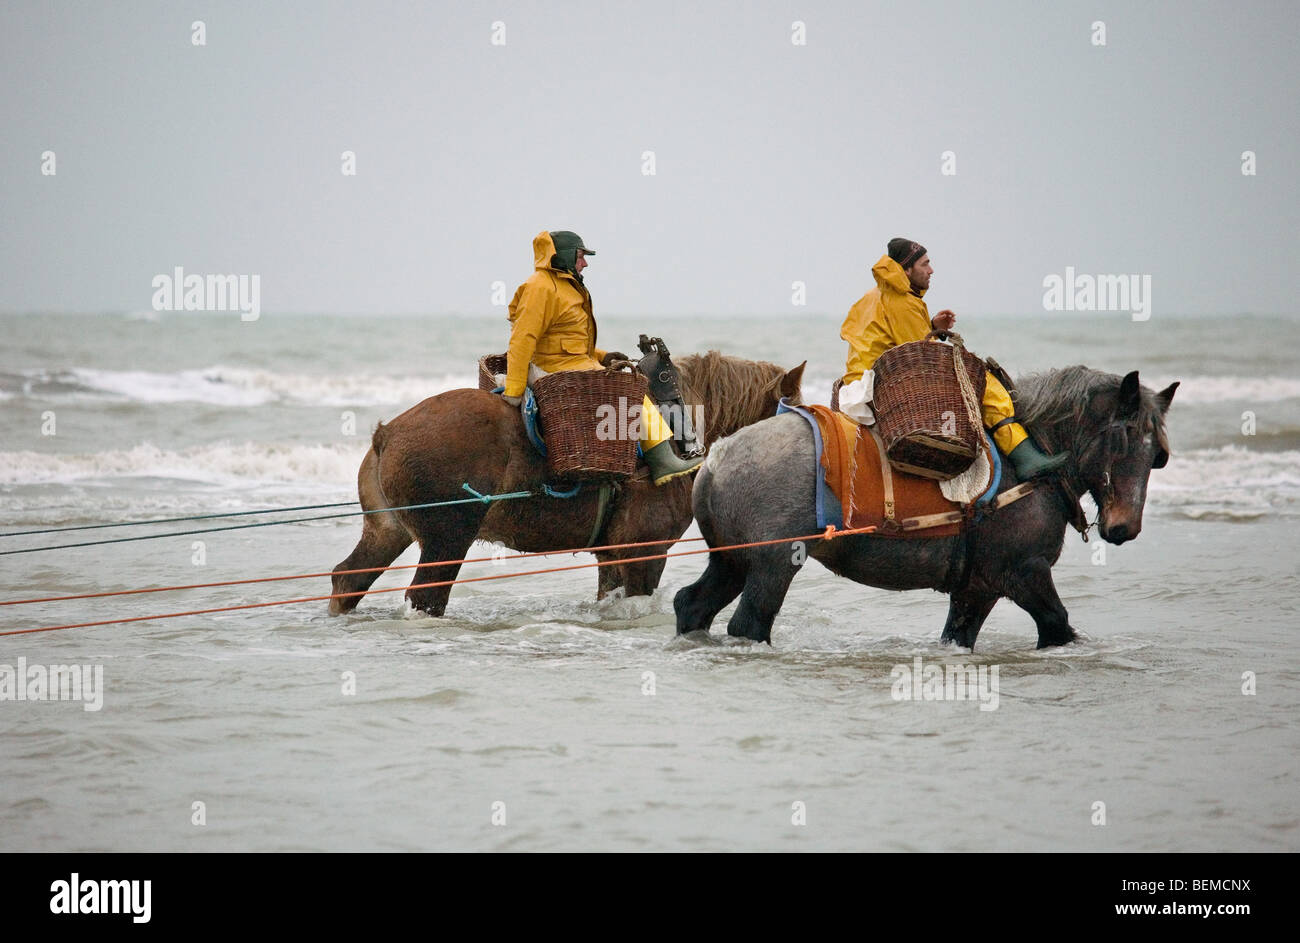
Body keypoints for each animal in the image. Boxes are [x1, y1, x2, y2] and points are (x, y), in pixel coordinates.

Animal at [329, 352, 806, 616]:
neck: (679, 426)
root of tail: (387, 433)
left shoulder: (612, 557)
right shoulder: (644, 554)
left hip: (387, 531)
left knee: (348, 580)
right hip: (446, 540)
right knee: (425, 597)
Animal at [673, 366, 1179, 650]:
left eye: (1158, 456)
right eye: (1122, 440)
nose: (1124, 527)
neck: (1030, 457)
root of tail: (716, 458)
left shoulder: (977, 589)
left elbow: (959, 636)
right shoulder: (1026, 573)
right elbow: (1058, 626)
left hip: (731, 562)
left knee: (691, 605)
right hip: (772, 566)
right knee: (748, 623)